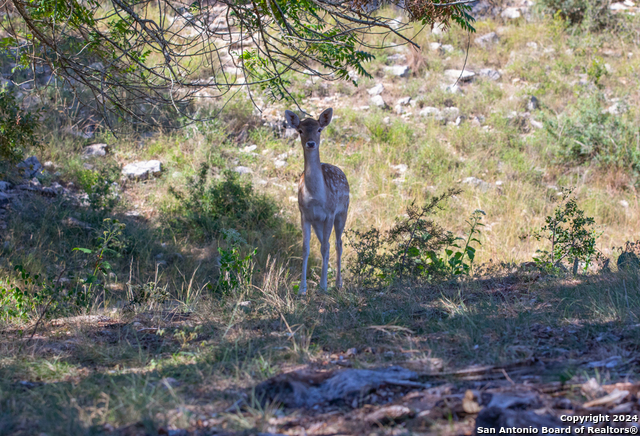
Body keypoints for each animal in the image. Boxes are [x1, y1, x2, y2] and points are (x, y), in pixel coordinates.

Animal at [284, 107, 350, 294]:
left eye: (319, 129)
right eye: (300, 130)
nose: (311, 143)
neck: (315, 196)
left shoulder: (330, 213)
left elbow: (326, 247)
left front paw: (323, 285)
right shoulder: (304, 214)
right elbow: (305, 248)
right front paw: (302, 288)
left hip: (343, 212)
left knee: (337, 243)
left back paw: (338, 283)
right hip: (317, 223)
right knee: (324, 243)